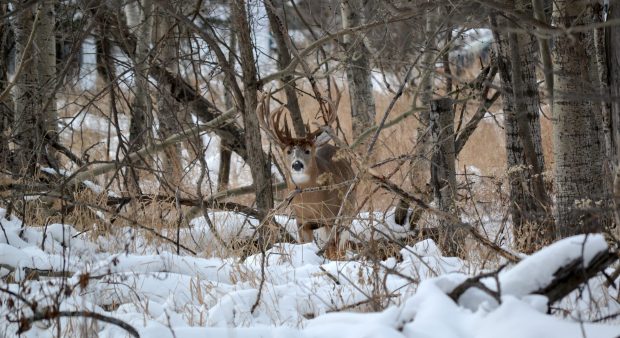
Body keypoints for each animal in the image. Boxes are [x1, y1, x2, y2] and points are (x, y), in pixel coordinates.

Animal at [256, 91, 354, 258]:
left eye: (308, 151)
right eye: (288, 151)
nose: (297, 164)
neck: (312, 204)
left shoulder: (332, 217)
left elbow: (332, 250)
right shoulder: (302, 222)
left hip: (349, 210)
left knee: (341, 247)